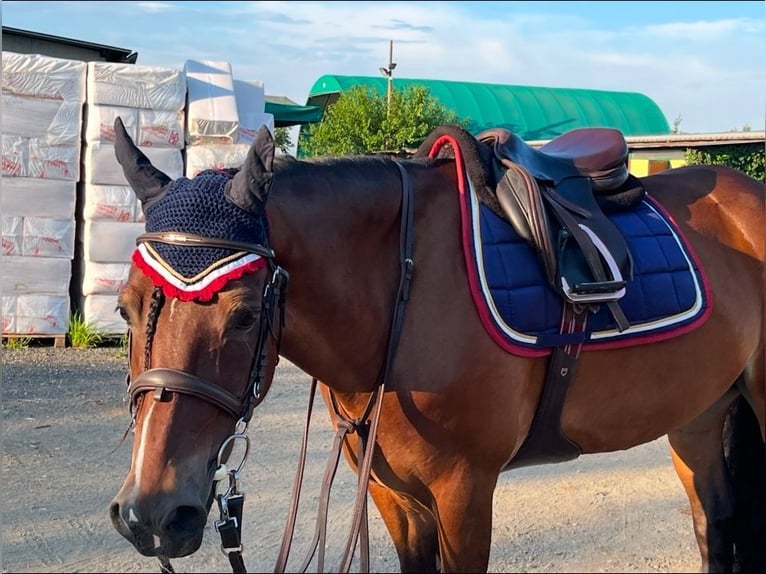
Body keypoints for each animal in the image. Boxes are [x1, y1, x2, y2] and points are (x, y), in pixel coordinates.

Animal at [109, 115, 766, 572]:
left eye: (245, 315)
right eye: (125, 307)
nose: (154, 513)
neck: (402, 288)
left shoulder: (464, 493)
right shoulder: (391, 495)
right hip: (699, 415)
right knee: (715, 522)